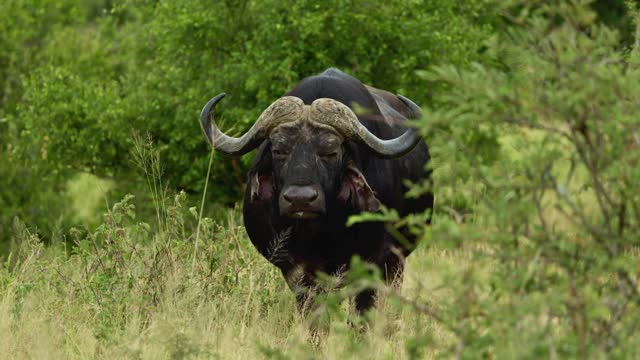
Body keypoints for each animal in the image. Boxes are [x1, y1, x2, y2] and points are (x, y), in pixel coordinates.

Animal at [200, 69, 430, 314]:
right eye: (279, 150)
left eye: (330, 152)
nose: (300, 200)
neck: (320, 233)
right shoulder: (296, 271)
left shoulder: (374, 264)